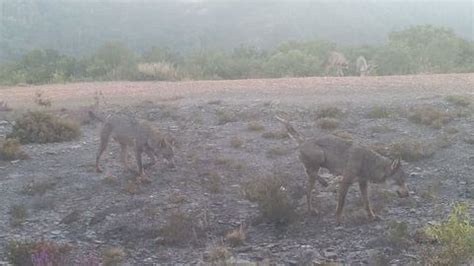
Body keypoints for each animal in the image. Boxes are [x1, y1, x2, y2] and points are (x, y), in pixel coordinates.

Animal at [276, 116, 410, 224]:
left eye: (405, 181)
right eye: (400, 181)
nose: (408, 194)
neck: (368, 163)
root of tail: (304, 140)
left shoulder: (363, 184)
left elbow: (367, 203)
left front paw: (371, 217)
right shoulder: (345, 182)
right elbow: (341, 204)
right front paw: (338, 220)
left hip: (314, 171)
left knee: (308, 189)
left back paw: (312, 208)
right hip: (320, 157)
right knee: (311, 174)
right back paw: (324, 182)